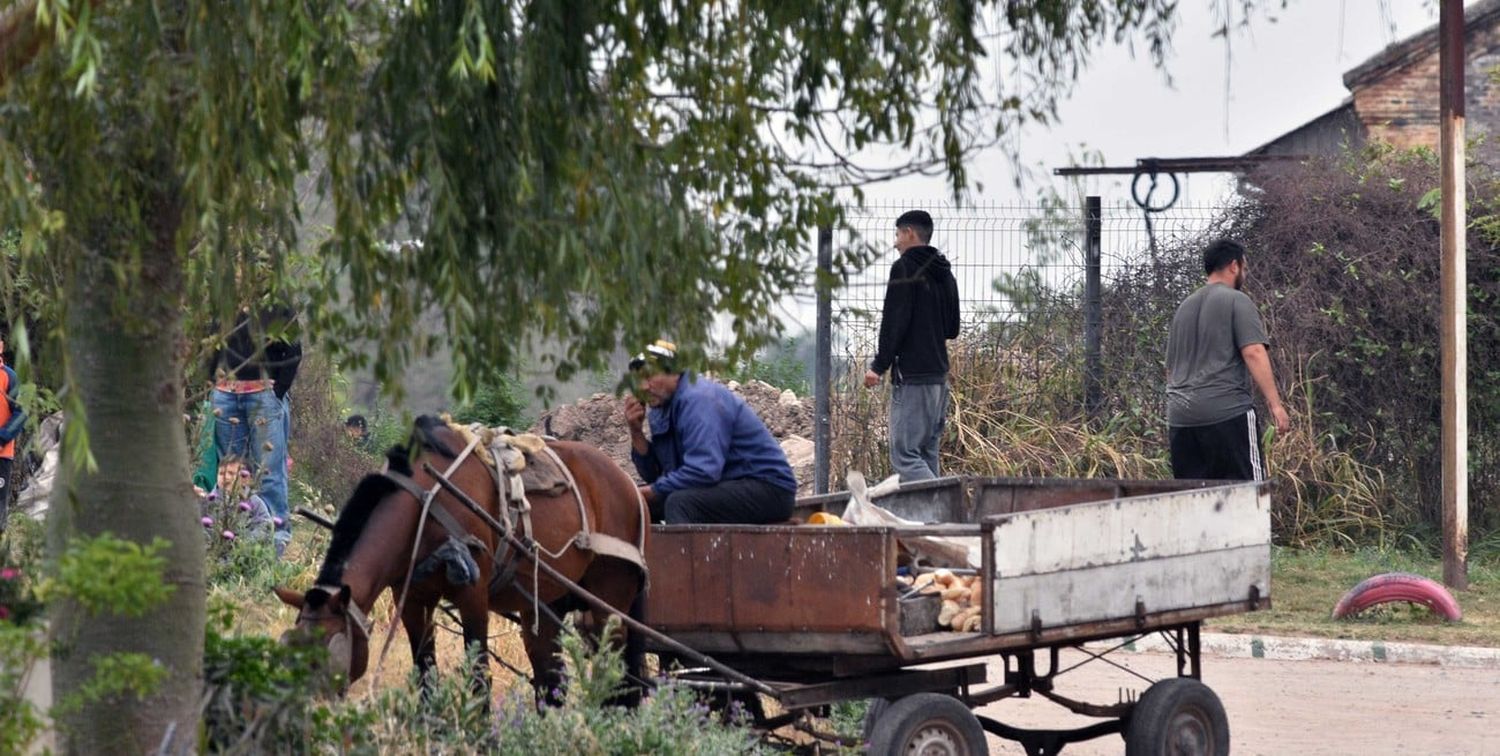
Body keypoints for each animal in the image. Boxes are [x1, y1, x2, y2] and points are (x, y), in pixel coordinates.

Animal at [274, 414, 645, 702]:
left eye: (326, 655)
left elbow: (479, 677)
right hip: (547, 602)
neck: (422, 504)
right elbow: (425, 673)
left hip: (609, 603)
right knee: (550, 680)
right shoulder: (411, 598)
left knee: (617, 678)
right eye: (289, 647)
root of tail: (629, 485)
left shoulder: (473, 594)